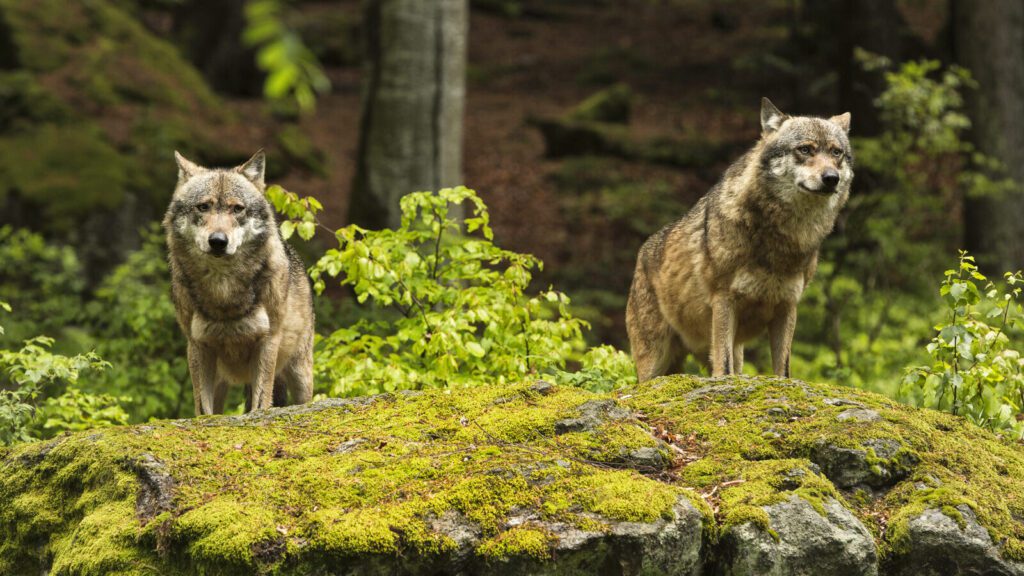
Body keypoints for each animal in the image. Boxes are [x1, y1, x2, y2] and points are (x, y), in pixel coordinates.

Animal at [161, 150, 313, 412]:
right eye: (203, 206)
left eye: (237, 209)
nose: (218, 241)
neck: (223, 290)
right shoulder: (197, 345)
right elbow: (204, 410)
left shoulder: (268, 341)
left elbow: (261, 403)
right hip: (221, 381)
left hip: (300, 374)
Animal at [626, 97, 851, 381]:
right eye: (805, 149)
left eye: (836, 153)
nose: (831, 178)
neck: (781, 240)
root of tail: (641, 252)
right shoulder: (724, 301)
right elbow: (724, 368)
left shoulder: (787, 307)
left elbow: (783, 370)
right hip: (654, 364)